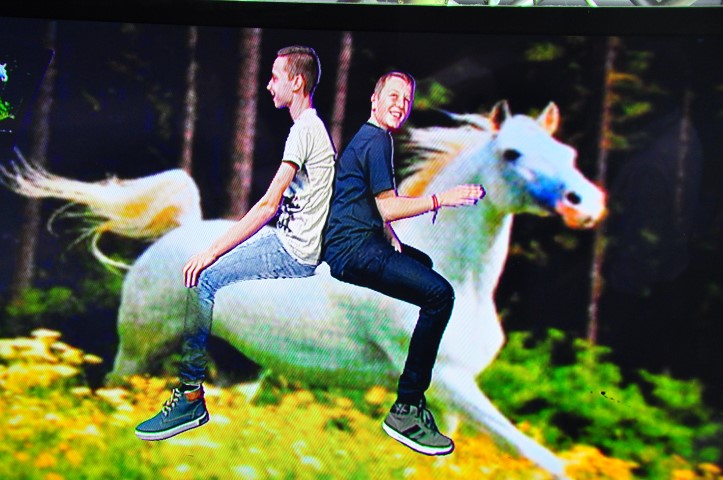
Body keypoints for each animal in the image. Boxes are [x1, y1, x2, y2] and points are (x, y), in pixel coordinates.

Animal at [1, 101, 605, 478]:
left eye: (569, 154)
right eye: (511, 154)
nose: (585, 203)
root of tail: (181, 235)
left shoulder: (450, 401)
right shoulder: (454, 384)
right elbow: (549, 461)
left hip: (236, 372)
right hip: (138, 352)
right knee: (110, 401)